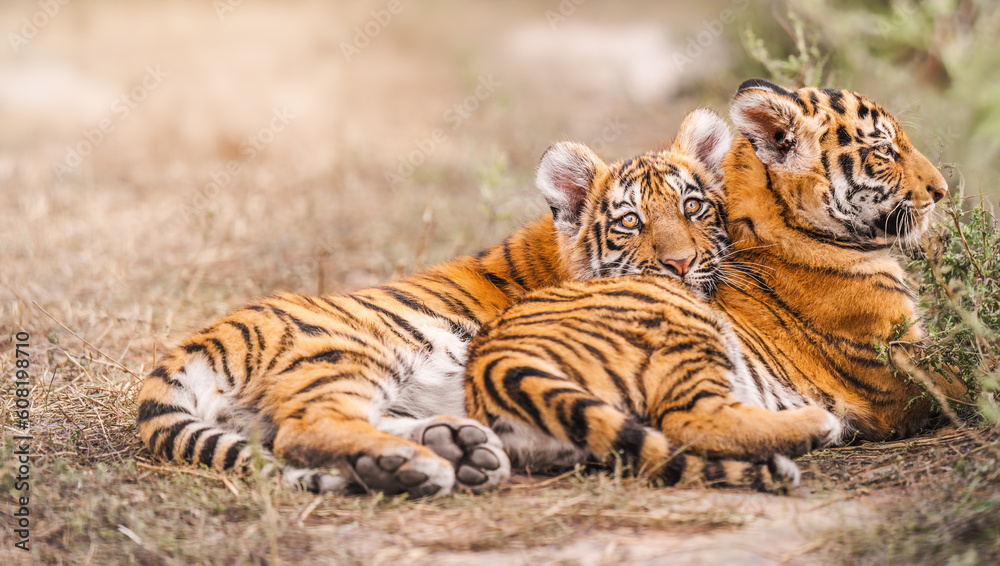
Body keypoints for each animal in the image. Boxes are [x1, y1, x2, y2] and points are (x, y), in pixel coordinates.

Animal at [136, 108, 798, 497]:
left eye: (694, 207)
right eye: (630, 222)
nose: (681, 264)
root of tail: (199, 341)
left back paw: (448, 451)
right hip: (348, 354)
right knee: (305, 427)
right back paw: (421, 464)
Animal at [464, 79, 965, 480]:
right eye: (884, 151)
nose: (942, 191)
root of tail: (490, 362)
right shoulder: (900, 363)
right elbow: (965, 372)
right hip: (681, 327)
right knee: (687, 419)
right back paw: (817, 425)